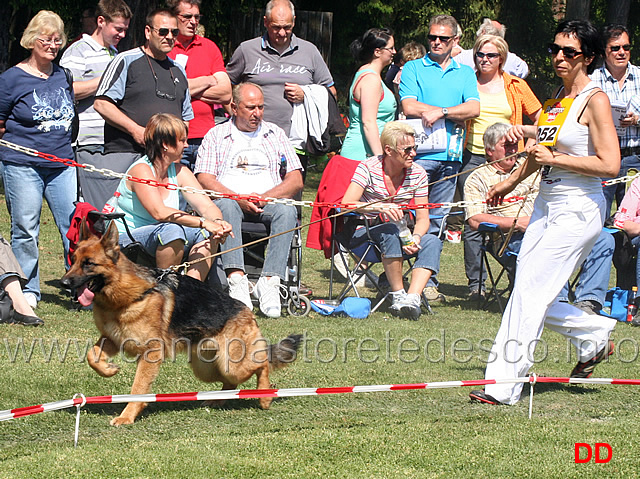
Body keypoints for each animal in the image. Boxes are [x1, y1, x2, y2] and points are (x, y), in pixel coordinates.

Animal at [61, 221, 302, 428]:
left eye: (89, 264)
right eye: (73, 260)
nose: (64, 283)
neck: (125, 295)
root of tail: (246, 310)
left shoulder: (150, 353)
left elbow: (138, 387)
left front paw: (127, 416)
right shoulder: (112, 339)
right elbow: (92, 356)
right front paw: (109, 369)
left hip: (232, 365)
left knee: (262, 364)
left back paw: (265, 397)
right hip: (207, 368)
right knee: (232, 382)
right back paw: (218, 400)